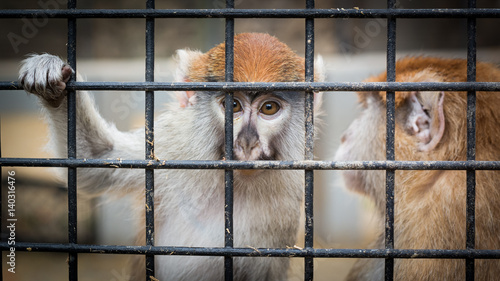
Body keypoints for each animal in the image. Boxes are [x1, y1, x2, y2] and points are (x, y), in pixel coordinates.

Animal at [18, 31, 324, 278]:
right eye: (232, 105)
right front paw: (50, 82)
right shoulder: (172, 145)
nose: (247, 143)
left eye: (269, 108)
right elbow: (94, 161)